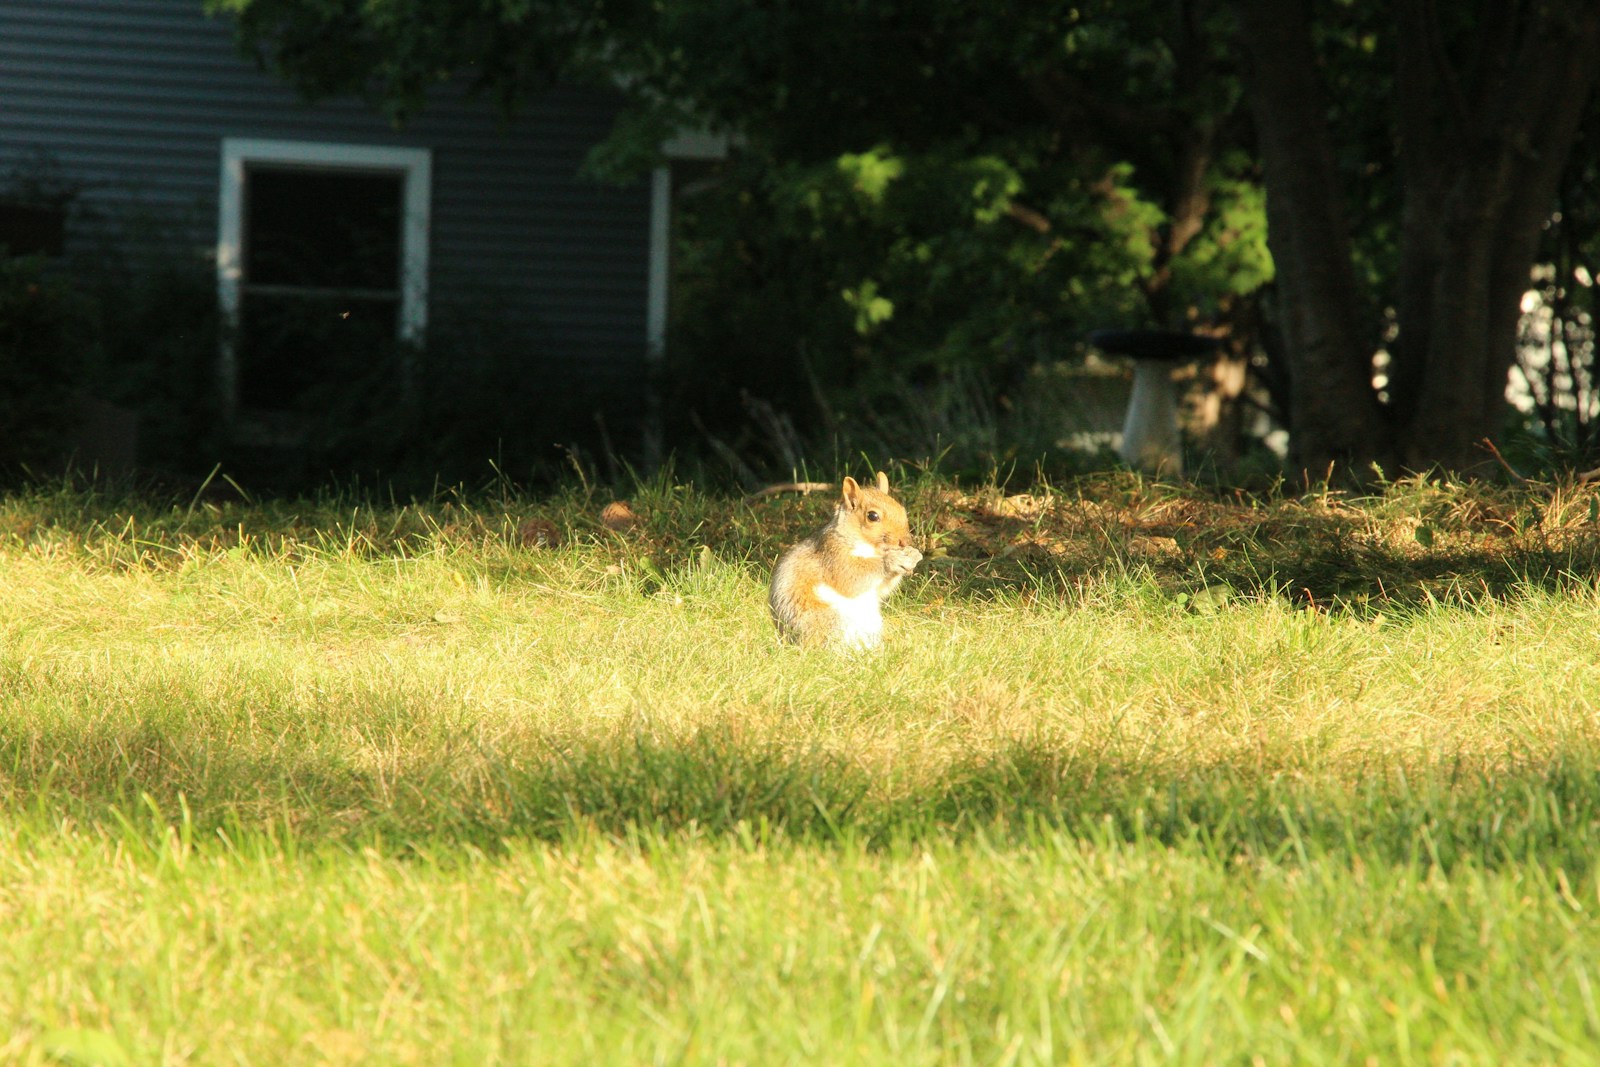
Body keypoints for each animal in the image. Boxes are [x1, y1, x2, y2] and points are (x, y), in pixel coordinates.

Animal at [768, 471, 922, 650]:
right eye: (873, 516)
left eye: (902, 510)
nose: (905, 541)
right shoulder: (833, 556)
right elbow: (851, 578)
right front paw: (892, 561)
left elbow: (882, 589)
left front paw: (912, 557)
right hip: (831, 623)